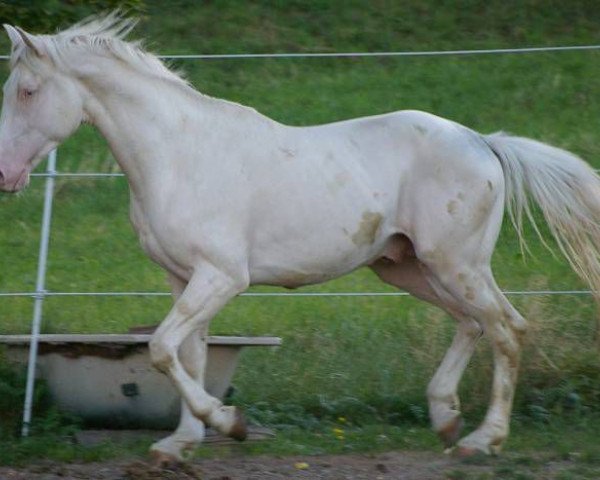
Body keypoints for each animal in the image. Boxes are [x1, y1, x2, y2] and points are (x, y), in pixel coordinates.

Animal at [1, 13, 600, 464]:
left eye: (27, 90)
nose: (5, 174)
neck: (177, 155)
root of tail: (483, 141)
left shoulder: (222, 277)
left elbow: (162, 348)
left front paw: (230, 423)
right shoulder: (181, 279)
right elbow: (187, 356)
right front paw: (179, 445)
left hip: (457, 264)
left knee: (506, 328)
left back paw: (483, 439)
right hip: (409, 267)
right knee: (472, 323)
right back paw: (446, 419)